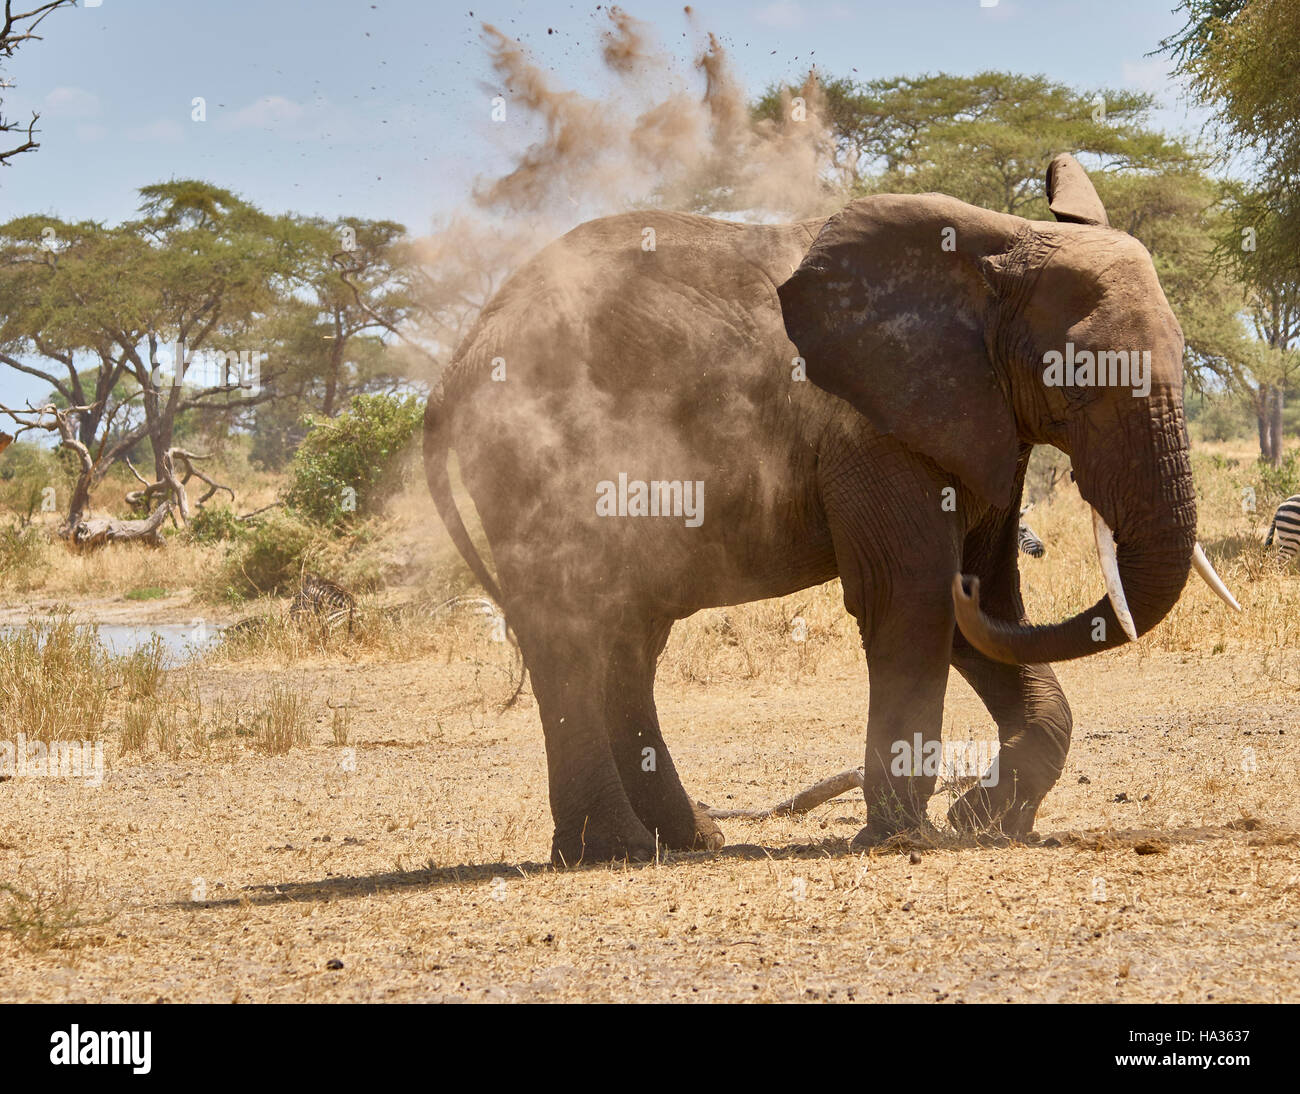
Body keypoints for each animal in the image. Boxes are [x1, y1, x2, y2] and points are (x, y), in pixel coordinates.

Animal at [426, 153, 1237, 867]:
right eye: (1079, 380)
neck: (994, 252)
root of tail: (456, 364)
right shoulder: (871, 428)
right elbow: (912, 595)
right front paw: (906, 837)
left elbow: (988, 612)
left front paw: (980, 820)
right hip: (532, 453)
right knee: (569, 627)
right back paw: (613, 851)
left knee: (626, 638)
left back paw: (688, 842)